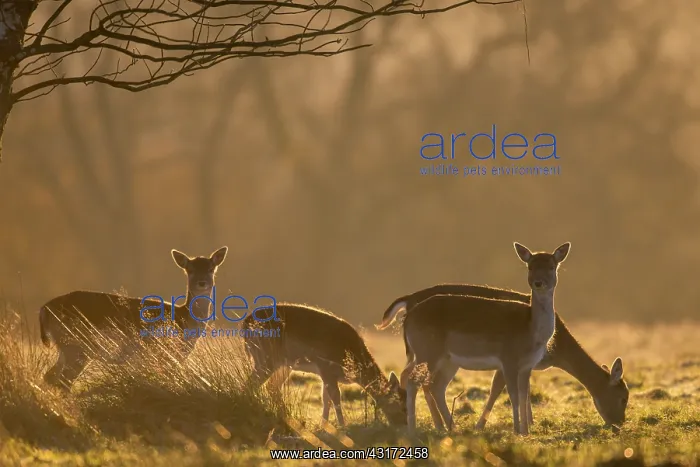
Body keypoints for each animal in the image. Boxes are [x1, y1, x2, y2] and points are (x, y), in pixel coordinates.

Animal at [38, 246, 228, 390]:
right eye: (190, 270)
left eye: (211, 269)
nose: (202, 283)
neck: (183, 321)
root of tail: (44, 309)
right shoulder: (164, 354)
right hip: (76, 345)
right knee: (63, 381)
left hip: (66, 347)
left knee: (49, 377)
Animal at [241, 303, 406, 427]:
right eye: (399, 405)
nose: (402, 425)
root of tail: (244, 325)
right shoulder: (326, 367)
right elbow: (335, 398)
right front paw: (342, 426)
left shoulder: (326, 374)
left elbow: (326, 398)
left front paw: (324, 426)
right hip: (264, 358)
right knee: (251, 384)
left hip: (283, 364)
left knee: (272, 387)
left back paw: (286, 417)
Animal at [390, 242, 571, 435]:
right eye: (530, 266)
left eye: (551, 266)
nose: (538, 283)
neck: (532, 332)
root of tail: (408, 317)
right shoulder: (508, 359)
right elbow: (513, 396)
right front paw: (516, 430)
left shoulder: (527, 365)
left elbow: (523, 395)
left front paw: (525, 432)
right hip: (427, 351)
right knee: (413, 381)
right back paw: (413, 428)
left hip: (447, 360)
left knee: (435, 386)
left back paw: (452, 428)